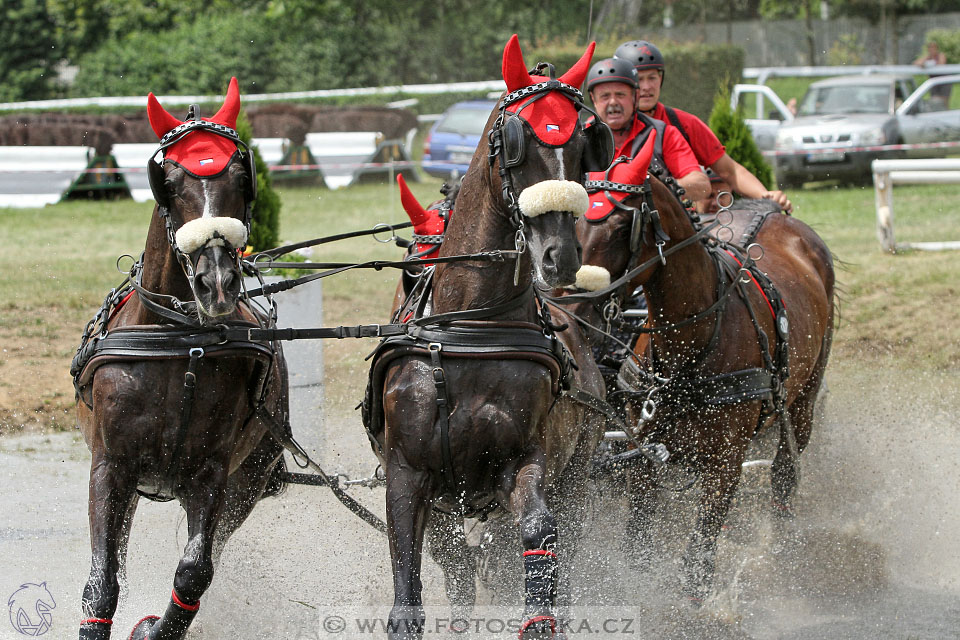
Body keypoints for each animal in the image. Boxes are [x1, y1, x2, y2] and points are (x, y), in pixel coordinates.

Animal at [71, 79, 288, 640]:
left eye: (241, 174)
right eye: (167, 179)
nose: (217, 283)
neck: (178, 343)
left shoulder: (211, 474)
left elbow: (194, 572)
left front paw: (153, 628)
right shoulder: (110, 467)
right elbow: (102, 581)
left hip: (247, 483)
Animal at [360, 37, 616, 636]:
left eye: (586, 142)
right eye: (519, 142)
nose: (560, 257)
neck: (472, 331)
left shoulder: (523, 462)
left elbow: (539, 533)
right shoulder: (407, 476)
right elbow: (409, 591)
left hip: (577, 476)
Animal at [564, 138, 832, 604]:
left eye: (622, 225)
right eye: (572, 221)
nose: (573, 308)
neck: (692, 347)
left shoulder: (725, 465)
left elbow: (698, 563)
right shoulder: (643, 455)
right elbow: (637, 545)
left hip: (802, 404)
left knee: (783, 476)